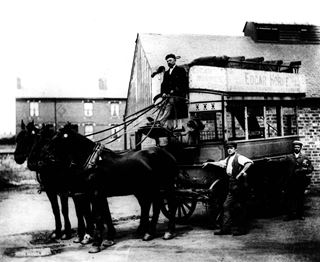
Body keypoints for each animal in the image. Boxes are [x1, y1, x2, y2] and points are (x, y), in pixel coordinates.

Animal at [40, 125, 178, 254]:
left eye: (59, 137)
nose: (44, 154)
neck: (93, 163)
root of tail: (167, 154)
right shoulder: (92, 194)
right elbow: (101, 213)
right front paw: (105, 239)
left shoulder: (95, 193)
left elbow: (97, 216)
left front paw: (96, 244)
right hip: (147, 189)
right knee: (154, 205)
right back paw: (148, 233)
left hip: (166, 186)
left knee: (171, 204)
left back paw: (169, 232)